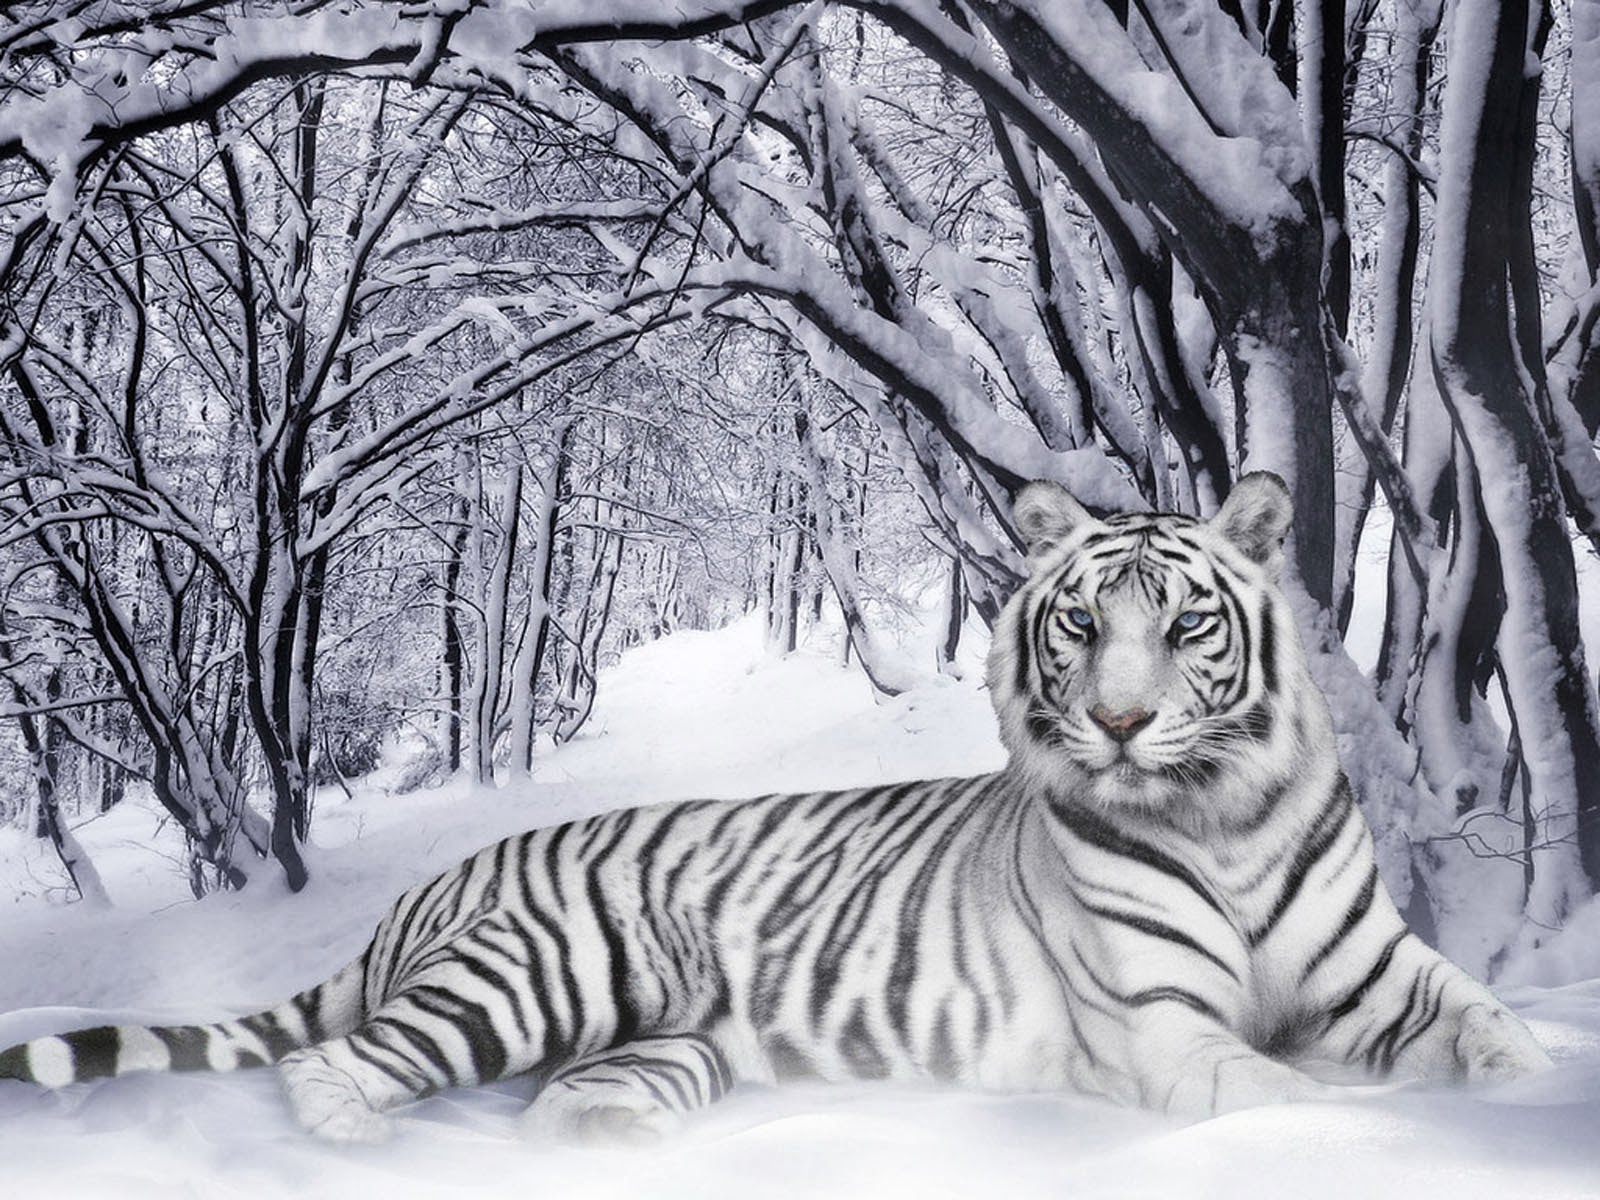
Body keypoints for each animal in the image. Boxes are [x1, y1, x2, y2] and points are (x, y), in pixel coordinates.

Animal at [0, 472, 1552, 1142]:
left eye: (1183, 627)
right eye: (1080, 627)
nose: (1118, 721)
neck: (1222, 816)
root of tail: (429, 891)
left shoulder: (1385, 976)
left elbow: (1492, 1028)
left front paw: (1527, 1090)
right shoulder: (1166, 1028)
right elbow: (1285, 1090)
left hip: (662, 1041)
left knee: (562, 1099)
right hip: (534, 974)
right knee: (338, 1065)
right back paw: (364, 1147)